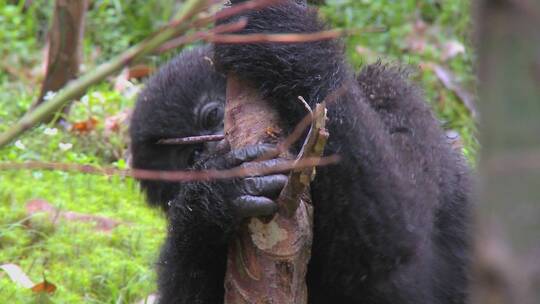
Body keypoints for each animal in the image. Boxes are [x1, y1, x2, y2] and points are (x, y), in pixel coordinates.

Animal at [129, 1, 470, 302]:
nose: (214, 147)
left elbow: (393, 233)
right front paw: (213, 195)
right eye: (193, 158)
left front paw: (284, 40)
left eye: (213, 115)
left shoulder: (389, 91)